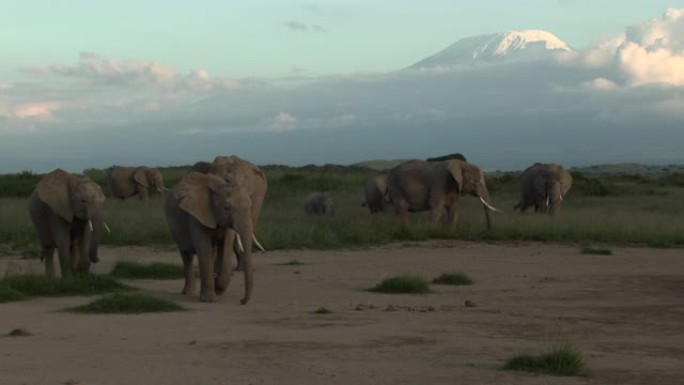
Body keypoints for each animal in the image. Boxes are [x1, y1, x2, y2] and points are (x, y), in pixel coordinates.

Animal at [164, 171, 255, 304]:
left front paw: (218, 288)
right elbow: (203, 248)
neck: (219, 186)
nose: (241, 301)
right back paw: (188, 293)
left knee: (210, 254)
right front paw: (210, 298)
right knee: (186, 255)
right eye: (226, 208)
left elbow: (226, 248)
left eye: (250, 206)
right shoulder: (196, 214)